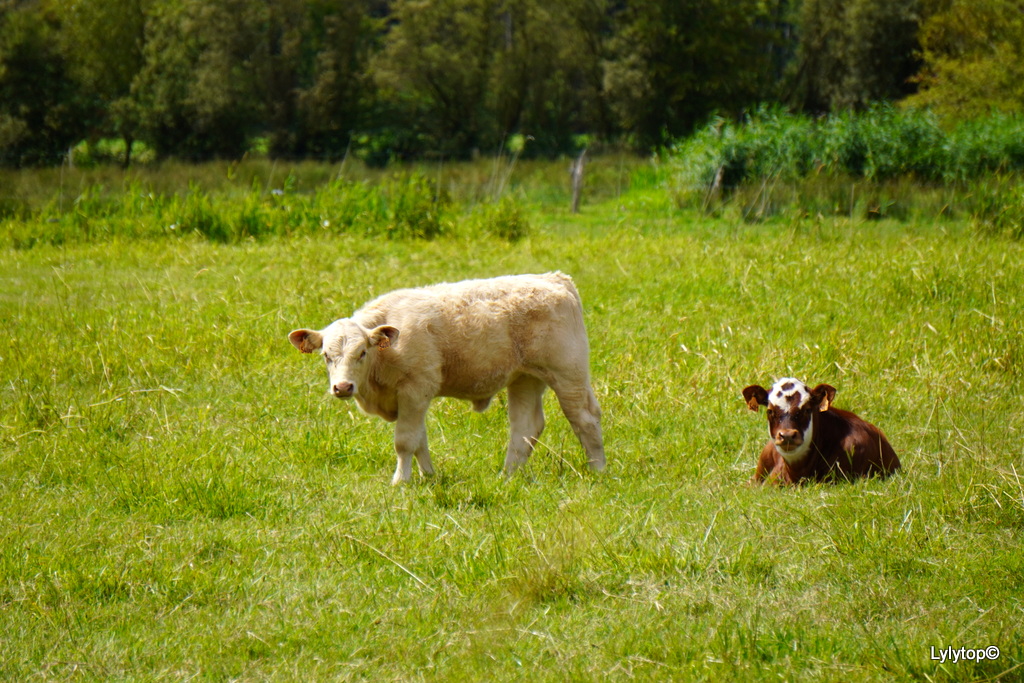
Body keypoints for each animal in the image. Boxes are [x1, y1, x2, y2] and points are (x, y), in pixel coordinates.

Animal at [288, 272, 602, 485]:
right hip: (525, 379)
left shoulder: (415, 391)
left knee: (585, 419)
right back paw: (508, 476)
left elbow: (405, 441)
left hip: (568, 375)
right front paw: (428, 476)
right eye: (326, 355)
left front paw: (400, 482)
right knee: (525, 427)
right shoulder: (414, 400)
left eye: (362, 352)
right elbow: (420, 440)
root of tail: (554, 278)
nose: (342, 387)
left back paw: (598, 470)